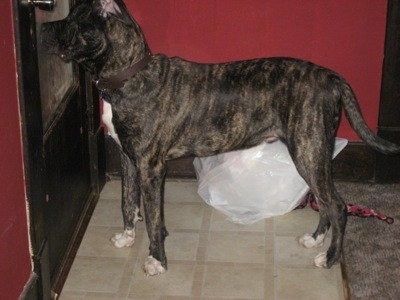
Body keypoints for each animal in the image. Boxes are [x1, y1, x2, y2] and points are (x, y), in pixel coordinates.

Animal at [43, 0, 400, 276]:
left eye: (73, 20)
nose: (44, 29)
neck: (129, 75)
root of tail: (331, 77)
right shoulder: (129, 160)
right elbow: (127, 203)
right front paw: (127, 238)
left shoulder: (151, 167)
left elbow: (154, 220)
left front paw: (157, 260)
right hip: (311, 153)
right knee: (325, 202)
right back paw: (315, 240)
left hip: (309, 151)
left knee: (338, 206)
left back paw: (329, 258)